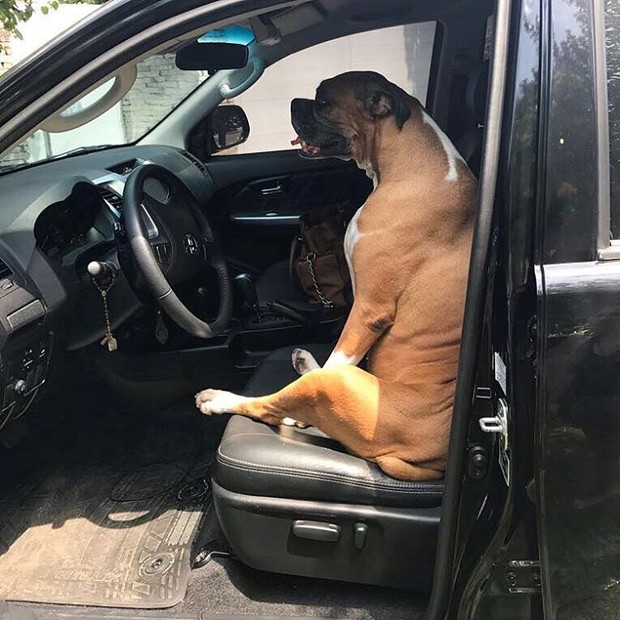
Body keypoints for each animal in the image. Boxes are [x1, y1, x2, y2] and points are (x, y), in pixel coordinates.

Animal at [196, 71, 478, 480]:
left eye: (324, 101)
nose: (295, 102)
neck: (409, 164)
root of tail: (431, 463)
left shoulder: (369, 309)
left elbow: (340, 355)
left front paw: (298, 417)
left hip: (329, 388)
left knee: (278, 401)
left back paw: (223, 400)